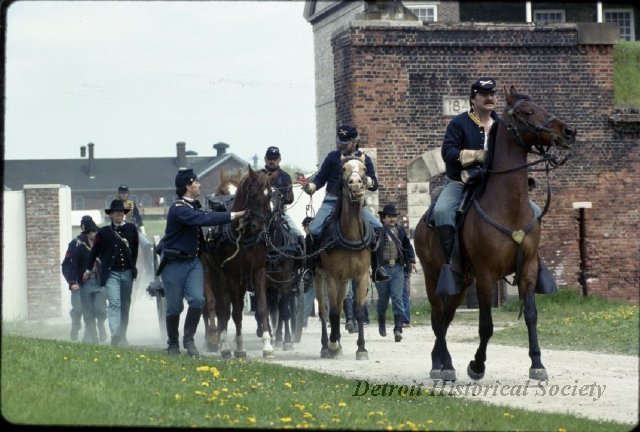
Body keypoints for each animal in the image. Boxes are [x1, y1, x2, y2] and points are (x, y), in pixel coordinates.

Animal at [202, 165, 272, 358]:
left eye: (269, 195)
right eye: (253, 194)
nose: (259, 226)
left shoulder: (258, 271)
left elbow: (262, 308)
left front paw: (267, 345)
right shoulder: (231, 276)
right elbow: (234, 312)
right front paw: (234, 347)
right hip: (212, 273)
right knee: (217, 306)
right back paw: (217, 340)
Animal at [314, 154, 370, 360]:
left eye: (364, 169)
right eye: (344, 169)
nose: (356, 185)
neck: (350, 235)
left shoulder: (361, 276)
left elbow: (358, 310)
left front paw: (361, 348)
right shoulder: (331, 276)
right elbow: (333, 313)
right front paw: (331, 345)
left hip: (345, 281)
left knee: (338, 304)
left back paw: (337, 342)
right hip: (318, 276)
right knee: (324, 310)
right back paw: (326, 346)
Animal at [416, 87, 576, 382]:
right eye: (527, 112)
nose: (568, 131)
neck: (508, 207)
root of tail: (423, 222)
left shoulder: (527, 269)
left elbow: (531, 315)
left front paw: (537, 364)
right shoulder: (486, 275)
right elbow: (486, 325)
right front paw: (477, 365)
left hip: (463, 281)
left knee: (446, 315)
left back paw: (441, 362)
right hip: (434, 275)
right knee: (437, 316)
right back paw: (444, 365)